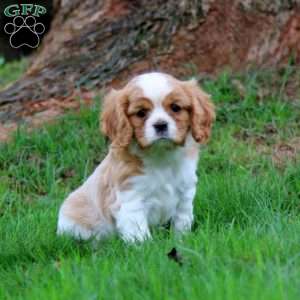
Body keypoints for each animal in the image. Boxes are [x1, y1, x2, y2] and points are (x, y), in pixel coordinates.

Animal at [56, 72, 216, 244]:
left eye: (175, 108)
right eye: (141, 113)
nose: (160, 125)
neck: (161, 156)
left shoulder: (185, 193)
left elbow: (182, 221)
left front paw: (181, 241)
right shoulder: (131, 201)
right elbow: (139, 235)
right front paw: (147, 247)